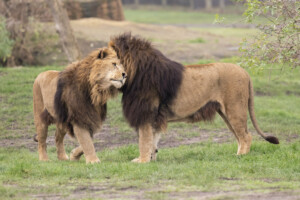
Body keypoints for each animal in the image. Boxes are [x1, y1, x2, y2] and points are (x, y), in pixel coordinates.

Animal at [109, 32, 280, 163]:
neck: (136, 74)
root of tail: (244, 72)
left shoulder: (146, 114)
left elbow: (144, 141)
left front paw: (142, 161)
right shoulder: (154, 118)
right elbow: (153, 141)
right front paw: (151, 159)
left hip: (235, 110)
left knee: (246, 136)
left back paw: (240, 157)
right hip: (227, 113)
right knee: (240, 136)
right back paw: (236, 154)